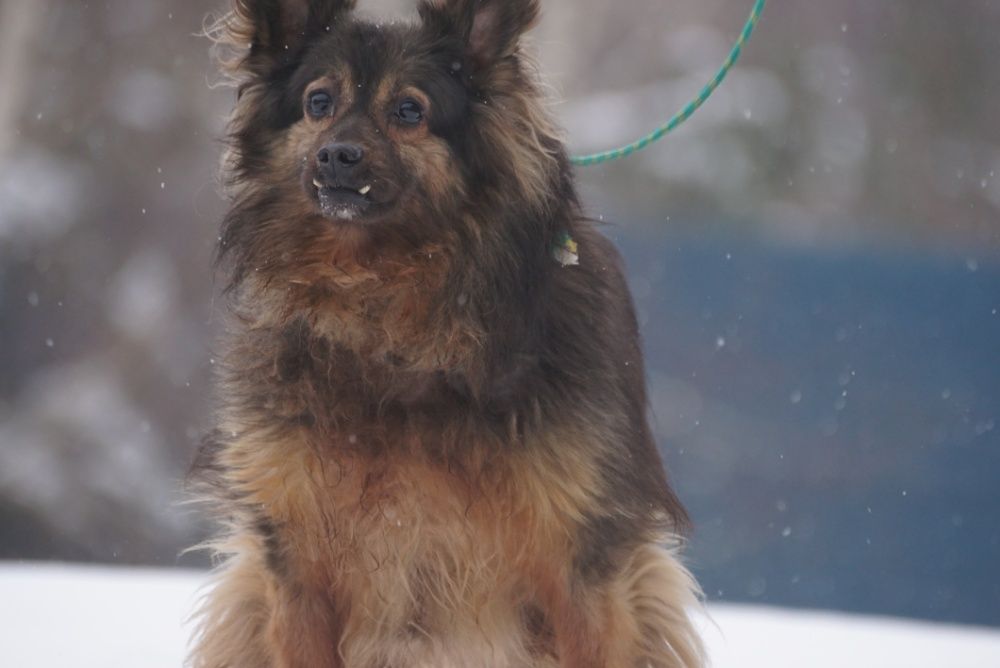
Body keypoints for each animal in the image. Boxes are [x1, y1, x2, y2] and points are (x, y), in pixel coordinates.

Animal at [189, 0, 704, 664]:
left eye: (410, 111)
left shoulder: (583, 564)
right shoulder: (296, 562)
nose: (335, 156)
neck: (392, 321)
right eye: (318, 102)